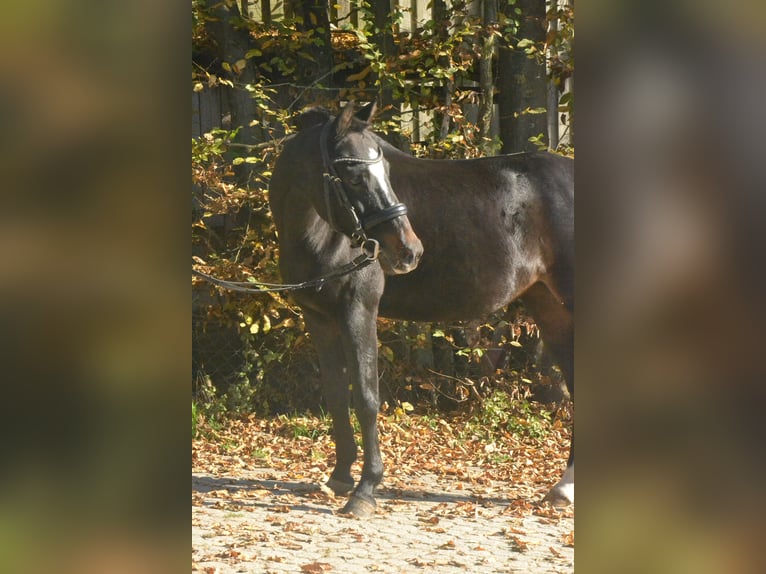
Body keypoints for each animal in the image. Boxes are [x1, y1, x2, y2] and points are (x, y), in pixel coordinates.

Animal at [268, 100, 572, 516]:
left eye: (385, 171)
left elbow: (366, 397)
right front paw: (340, 477)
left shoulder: (358, 310)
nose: (409, 251)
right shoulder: (319, 317)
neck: (320, 232)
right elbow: (335, 395)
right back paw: (562, 489)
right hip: (548, 303)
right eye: (353, 175)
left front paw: (365, 490)